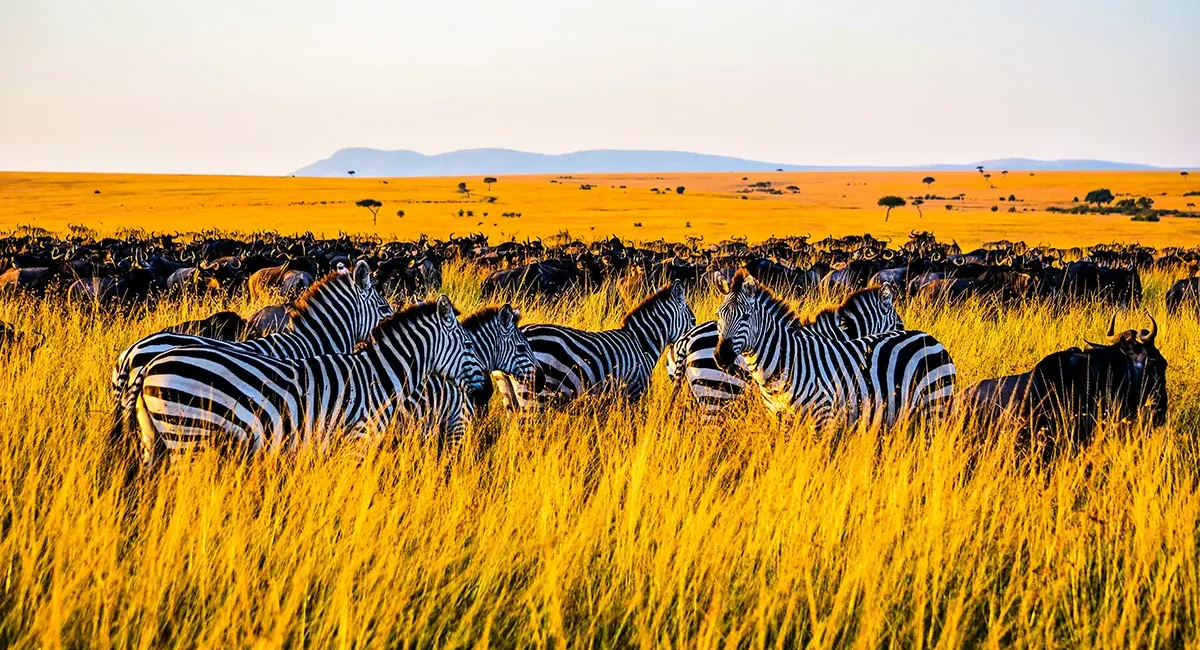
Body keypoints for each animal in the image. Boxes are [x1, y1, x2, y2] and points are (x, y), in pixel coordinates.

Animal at [135, 296, 484, 467]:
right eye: (468, 345)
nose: (484, 393)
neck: (381, 377)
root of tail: (150, 364)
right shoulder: (358, 439)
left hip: (157, 438)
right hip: (188, 434)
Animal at [714, 269, 956, 429]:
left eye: (746, 316)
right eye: (718, 316)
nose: (721, 356)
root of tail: (931, 338)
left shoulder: (823, 417)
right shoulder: (779, 418)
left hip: (934, 405)